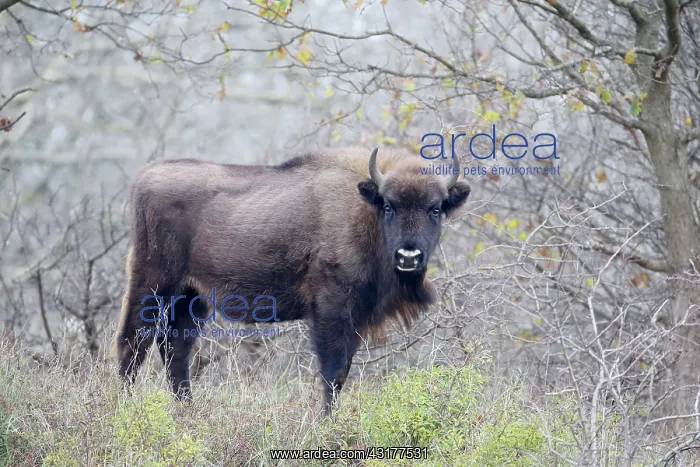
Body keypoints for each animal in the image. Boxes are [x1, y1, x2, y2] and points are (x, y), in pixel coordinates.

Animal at [113, 146, 470, 413]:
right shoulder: (332, 308)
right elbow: (333, 372)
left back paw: (186, 411)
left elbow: (341, 370)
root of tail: (145, 177)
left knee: (175, 349)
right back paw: (125, 408)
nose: (408, 257)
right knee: (134, 342)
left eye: (435, 208)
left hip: (191, 297)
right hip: (152, 284)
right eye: (389, 206)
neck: (363, 211)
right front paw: (326, 424)